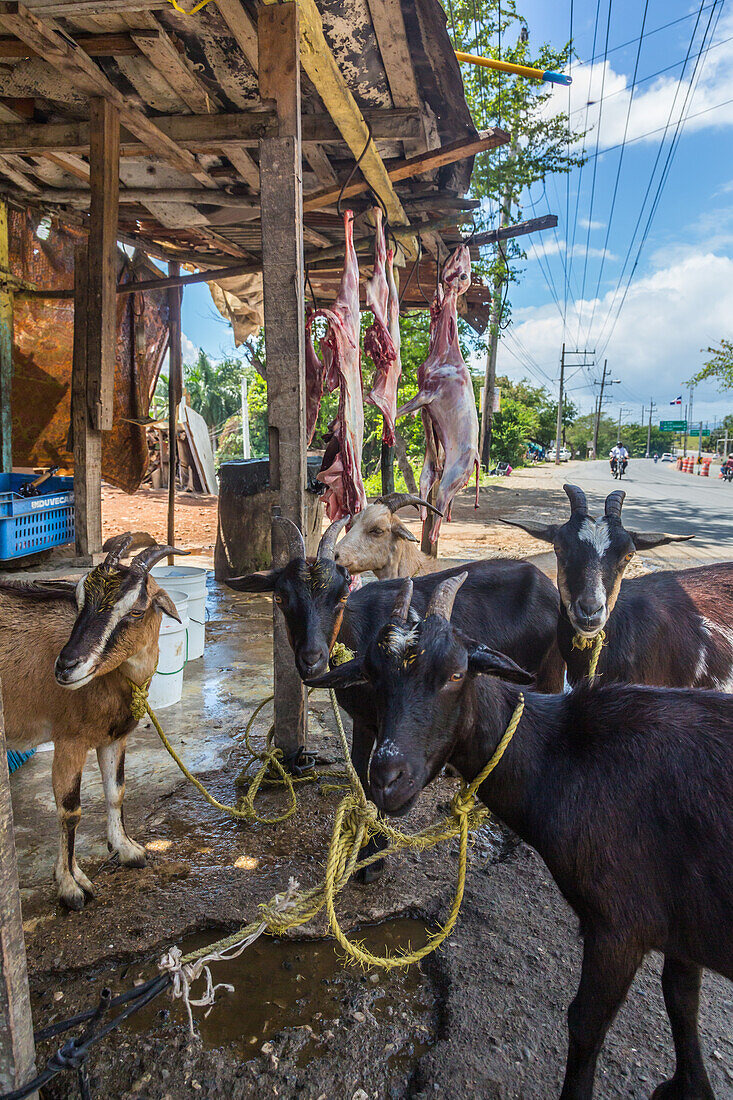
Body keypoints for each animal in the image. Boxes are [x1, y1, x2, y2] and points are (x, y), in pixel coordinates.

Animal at [1, 534, 182, 910]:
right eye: (79, 599)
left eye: (136, 611)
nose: (66, 666)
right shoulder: (69, 740)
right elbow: (69, 810)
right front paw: (71, 885)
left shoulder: (114, 737)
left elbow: (116, 791)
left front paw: (127, 849)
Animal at [314, 576, 730, 1100]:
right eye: (371, 676)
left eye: (456, 674)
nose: (387, 778)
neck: (563, 758)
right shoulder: (682, 921)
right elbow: (681, 999)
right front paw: (689, 1085)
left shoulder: (620, 924)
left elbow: (585, 1023)